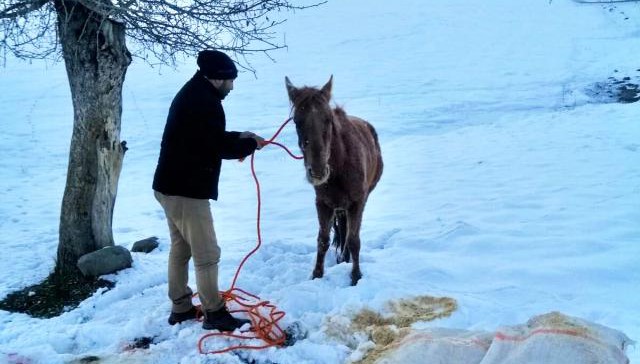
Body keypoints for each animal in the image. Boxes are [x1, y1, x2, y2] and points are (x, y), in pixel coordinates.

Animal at [286, 77, 384, 286]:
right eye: (297, 121)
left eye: (328, 119)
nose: (317, 171)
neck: (340, 165)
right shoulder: (323, 203)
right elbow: (322, 239)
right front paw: (317, 275)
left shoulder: (357, 202)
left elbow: (354, 240)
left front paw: (355, 277)